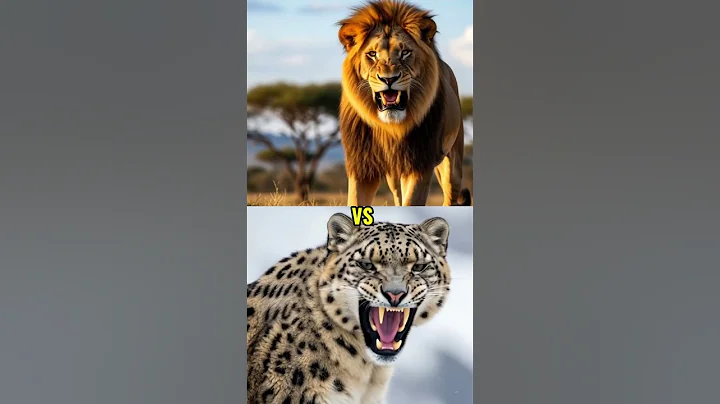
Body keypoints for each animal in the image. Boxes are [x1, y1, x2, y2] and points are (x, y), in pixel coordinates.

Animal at [337, 0, 472, 206]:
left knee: (451, 194)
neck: (391, 129)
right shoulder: (362, 166)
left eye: (405, 53)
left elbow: (412, 201)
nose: (388, 79)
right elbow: (355, 201)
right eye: (372, 54)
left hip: (452, 165)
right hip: (393, 174)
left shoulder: (419, 164)